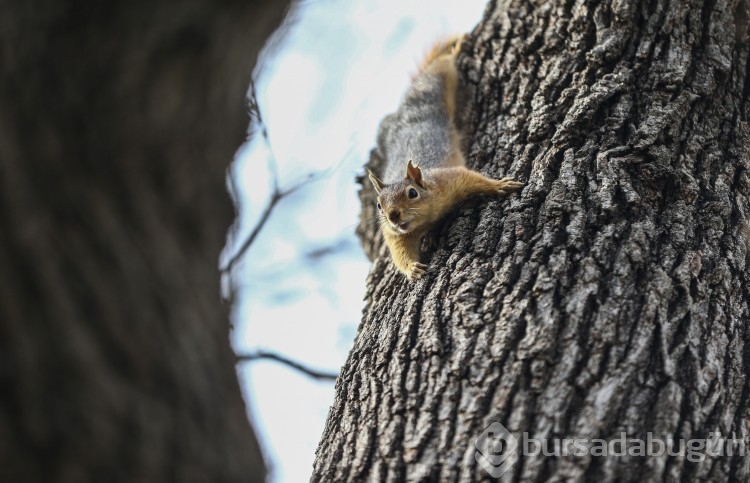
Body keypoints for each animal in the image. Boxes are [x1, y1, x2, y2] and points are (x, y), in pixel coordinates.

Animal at [368, 36, 524, 280]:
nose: (393, 216)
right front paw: (412, 268)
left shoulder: (448, 179)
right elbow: (399, 252)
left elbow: (472, 178)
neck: (427, 218)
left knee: (442, 64)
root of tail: (403, 110)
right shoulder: (394, 234)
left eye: (412, 193)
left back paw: (456, 46)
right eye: (378, 205)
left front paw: (499, 185)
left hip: (436, 83)